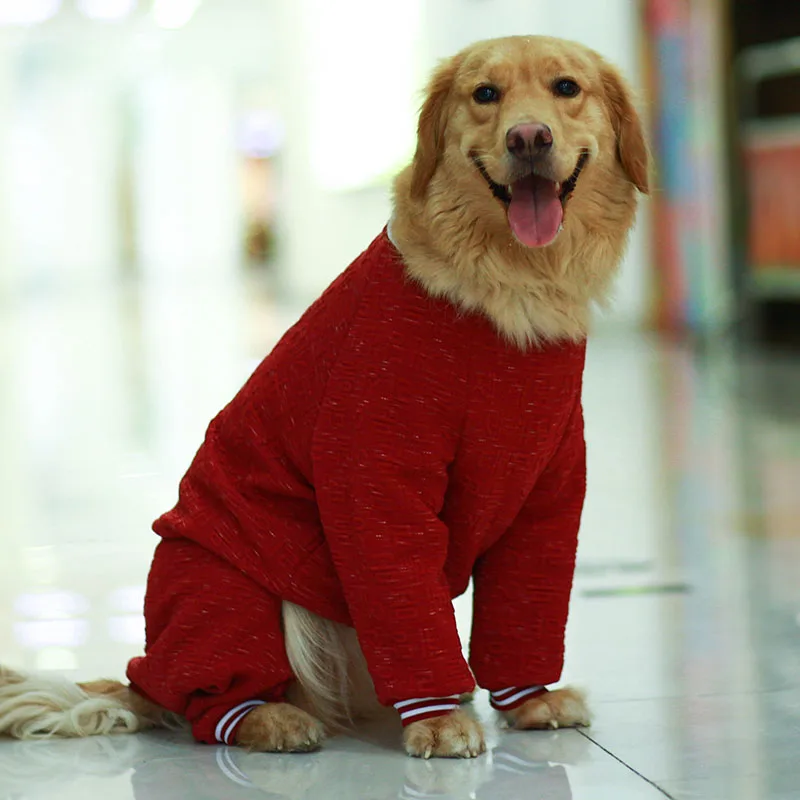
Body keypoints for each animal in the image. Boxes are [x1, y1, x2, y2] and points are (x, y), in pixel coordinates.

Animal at [0, 34, 648, 760]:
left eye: (567, 88)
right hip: (225, 588)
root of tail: (145, 677)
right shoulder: (376, 478)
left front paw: (529, 700)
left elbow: (525, 607)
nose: (528, 136)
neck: (505, 287)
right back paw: (271, 717)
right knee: (210, 705)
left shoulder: (548, 496)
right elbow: (405, 602)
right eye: (486, 94)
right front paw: (436, 720)